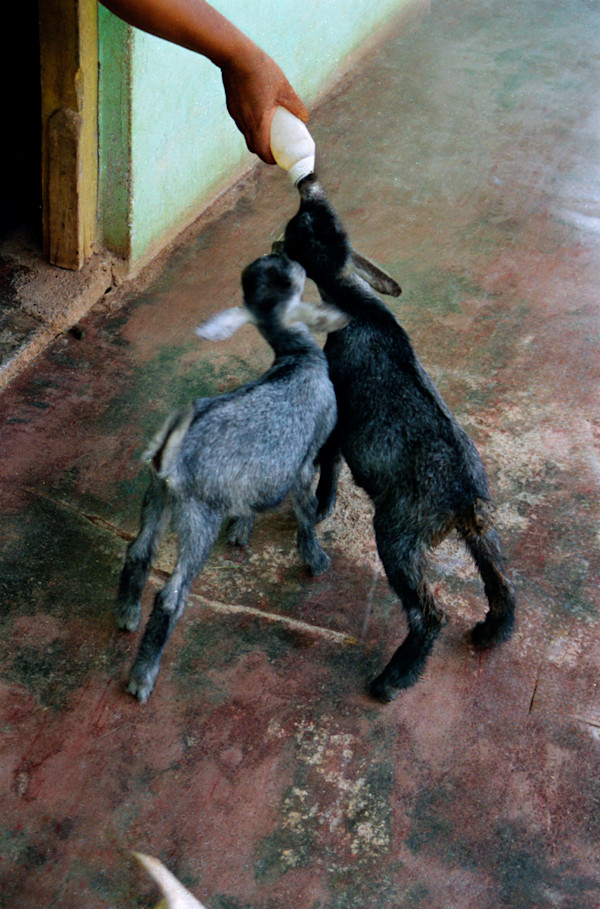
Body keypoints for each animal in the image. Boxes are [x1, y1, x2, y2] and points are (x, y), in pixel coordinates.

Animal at [116, 253, 346, 703]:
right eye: (287, 273)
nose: (286, 255)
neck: (297, 359)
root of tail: (169, 457)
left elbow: (251, 500)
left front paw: (242, 528)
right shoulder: (307, 458)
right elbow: (306, 512)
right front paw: (315, 560)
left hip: (156, 497)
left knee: (138, 552)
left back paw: (127, 615)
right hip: (199, 516)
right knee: (171, 595)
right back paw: (143, 676)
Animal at [283, 175, 516, 702]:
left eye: (297, 228)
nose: (308, 185)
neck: (361, 310)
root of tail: (462, 499)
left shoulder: (339, 408)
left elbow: (329, 459)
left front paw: (321, 507)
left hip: (398, 532)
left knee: (430, 613)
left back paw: (392, 680)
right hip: (482, 525)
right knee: (502, 581)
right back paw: (491, 633)